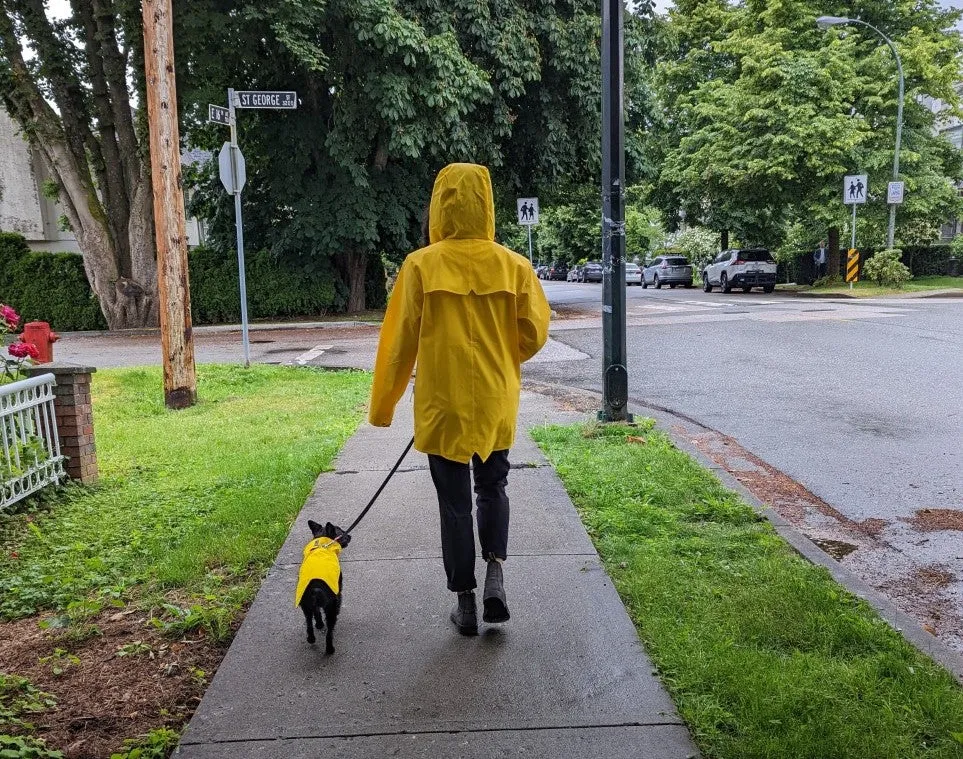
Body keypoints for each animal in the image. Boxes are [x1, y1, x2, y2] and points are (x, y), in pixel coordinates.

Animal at [298, 524, 354, 652]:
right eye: (341, 532)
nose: (349, 536)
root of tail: (315, 588)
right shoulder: (338, 591)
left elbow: (316, 612)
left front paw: (319, 624)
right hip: (332, 606)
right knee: (329, 631)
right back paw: (330, 649)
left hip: (306, 605)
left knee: (309, 622)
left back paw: (311, 638)